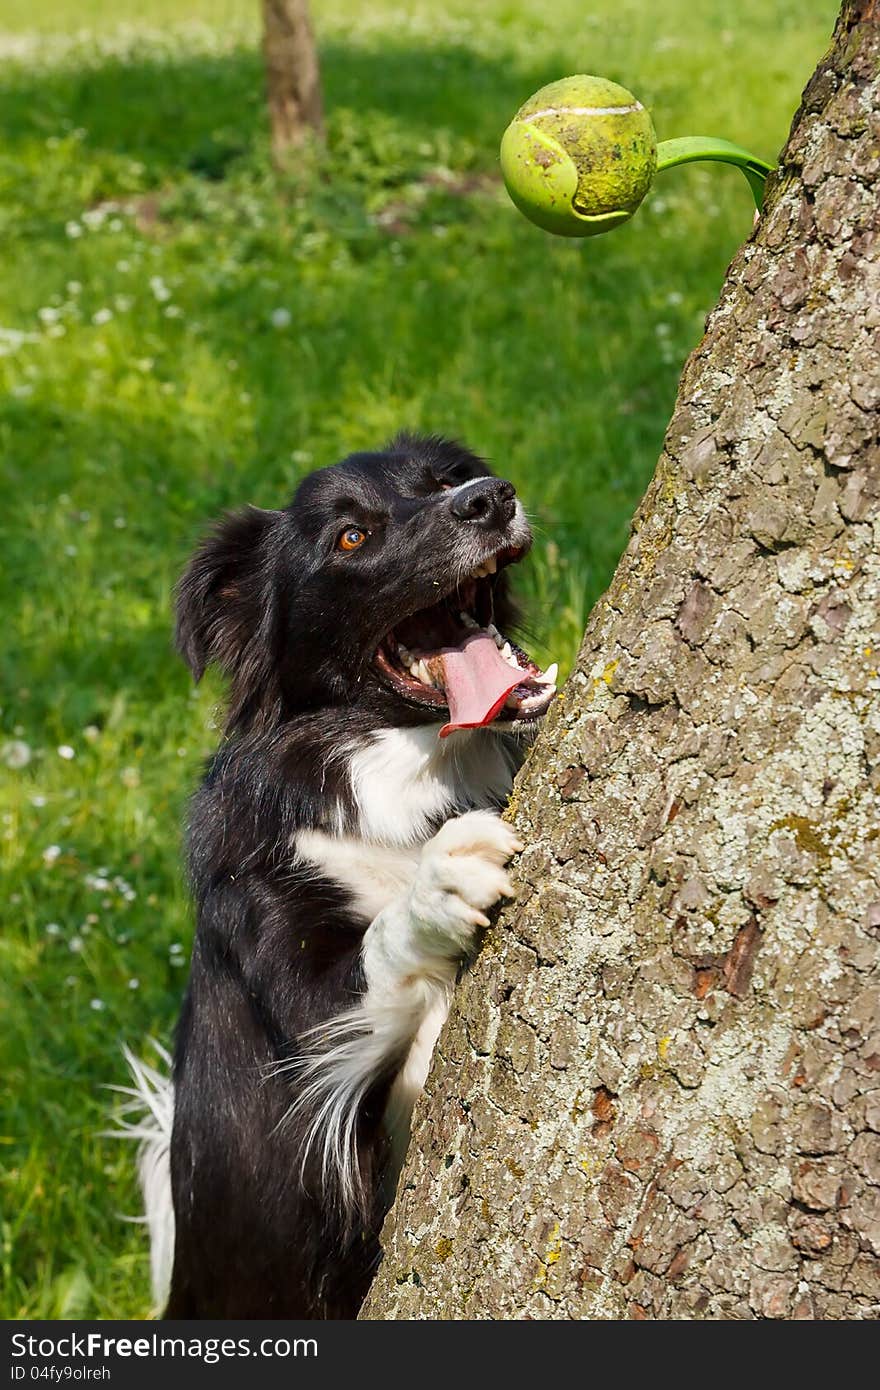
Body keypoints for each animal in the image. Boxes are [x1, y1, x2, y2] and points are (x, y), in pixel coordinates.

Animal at [125, 430, 553, 1312]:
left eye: (447, 477)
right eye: (351, 537)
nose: (490, 498)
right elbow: (379, 963)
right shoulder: (296, 1001)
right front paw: (440, 884)